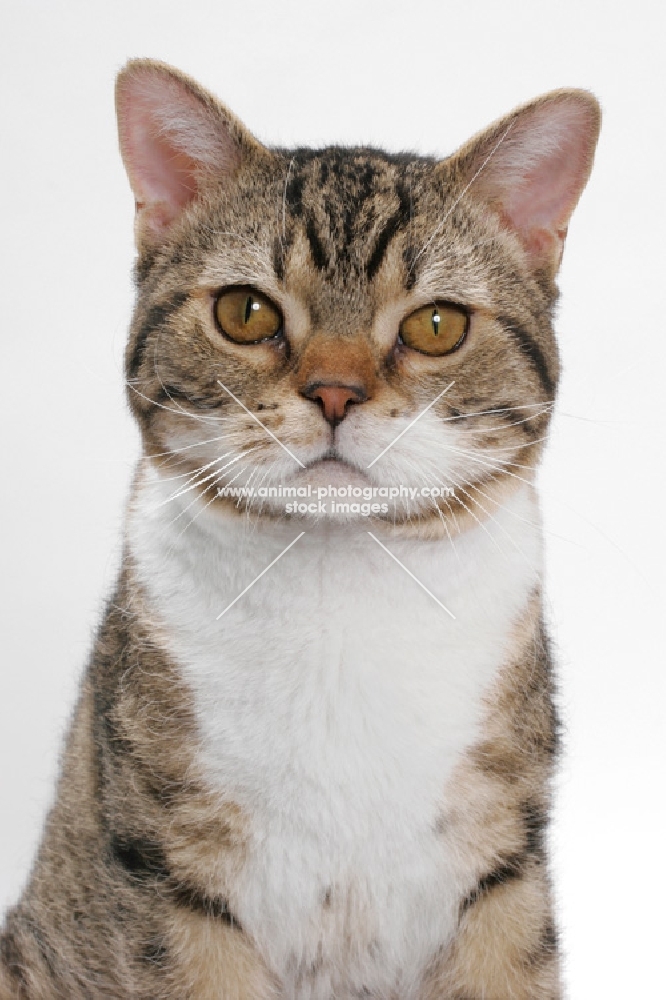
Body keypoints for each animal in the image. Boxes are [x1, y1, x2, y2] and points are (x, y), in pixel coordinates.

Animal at [0, 58, 600, 996]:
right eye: (246, 312)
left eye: (437, 325)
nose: (335, 392)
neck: (337, 590)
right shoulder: (163, 869)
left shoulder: (503, 863)